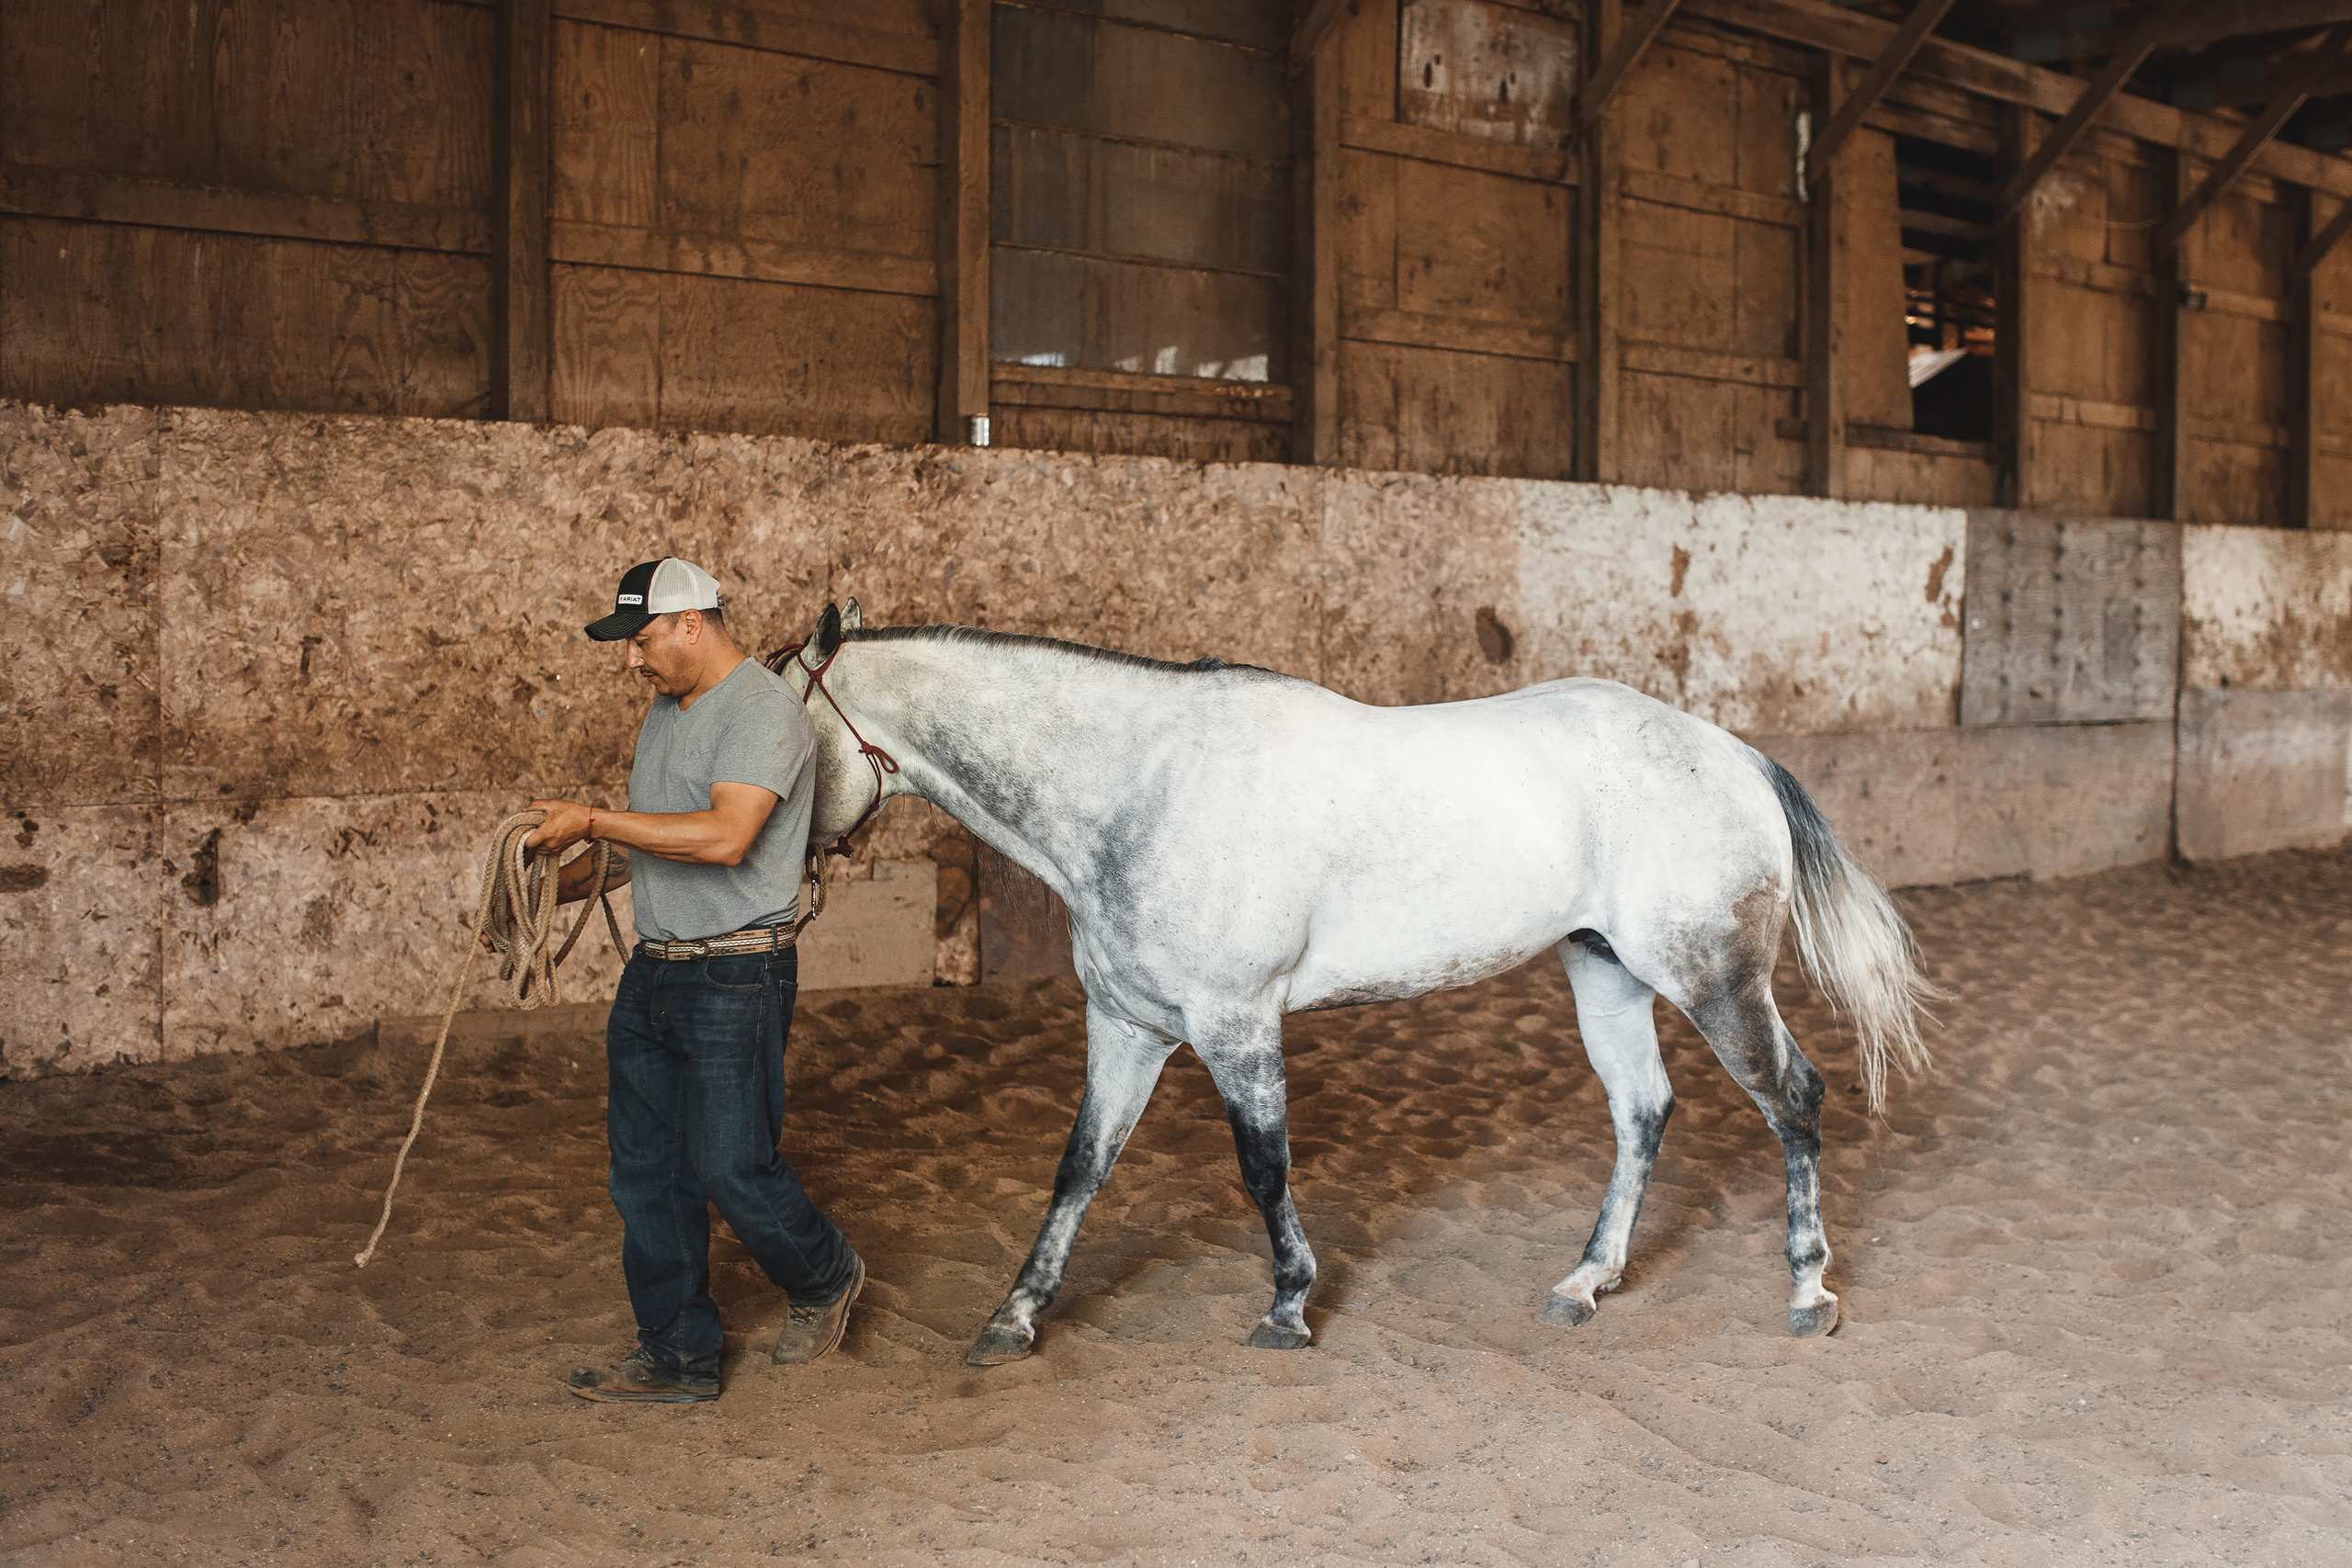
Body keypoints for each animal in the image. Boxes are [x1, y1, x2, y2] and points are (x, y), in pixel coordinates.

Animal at [773, 601, 1936, 1364]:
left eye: (779, 739)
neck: (1142, 785)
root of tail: (1735, 756)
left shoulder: (1235, 1023)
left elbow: (1263, 1168)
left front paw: (1288, 1307)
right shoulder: (1126, 1026)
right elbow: (1079, 1168)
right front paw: (1014, 1318)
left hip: (1711, 976)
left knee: (1793, 1099)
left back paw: (1806, 1290)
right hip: (1603, 972)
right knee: (1643, 1111)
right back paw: (1583, 1283)